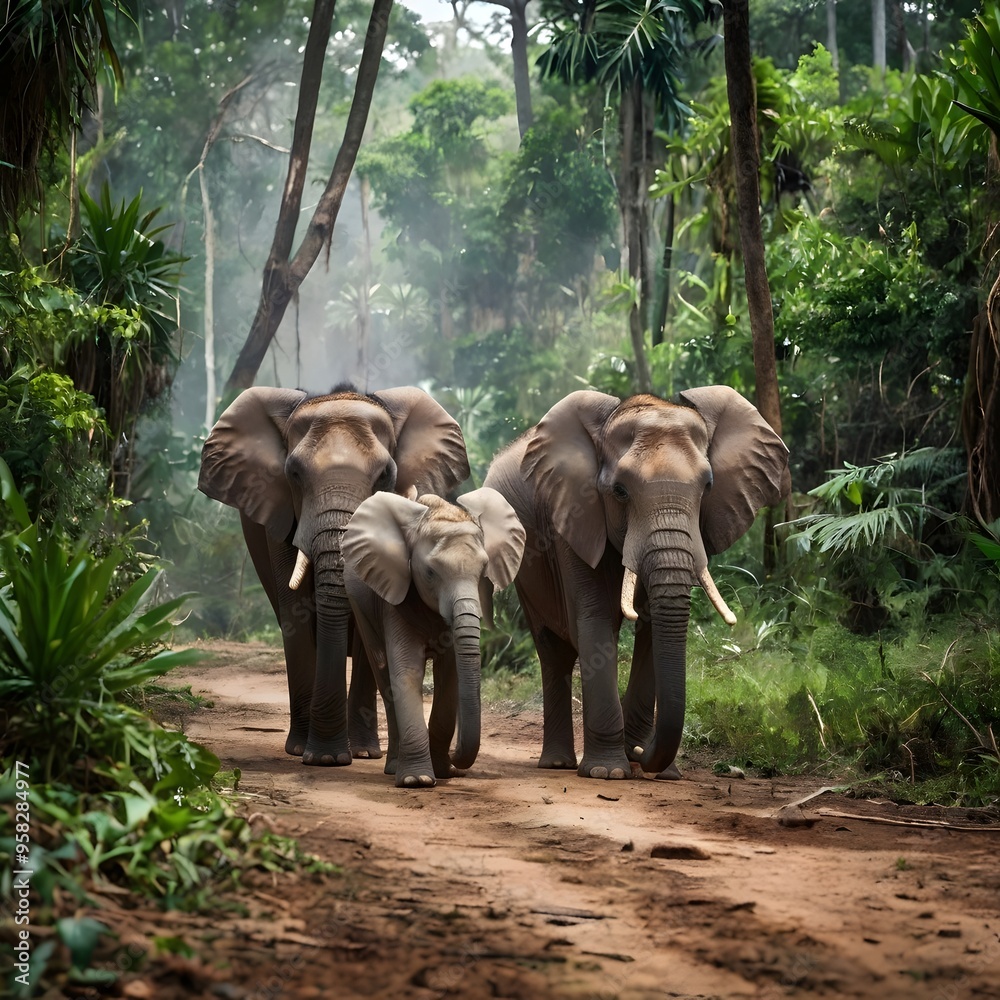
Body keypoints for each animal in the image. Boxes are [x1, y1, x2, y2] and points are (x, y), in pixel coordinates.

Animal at [198, 383, 470, 766]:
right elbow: (295, 610)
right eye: (294, 474)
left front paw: (351, 754)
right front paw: (317, 755)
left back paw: (363, 751)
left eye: (385, 475)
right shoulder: (280, 516)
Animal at [343, 488, 525, 788]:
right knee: (383, 673)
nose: (456, 760)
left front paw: (443, 772)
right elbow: (407, 671)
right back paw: (394, 767)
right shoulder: (395, 598)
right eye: (429, 573)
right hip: (362, 605)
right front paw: (417, 780)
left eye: (484, 569)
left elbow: (450, 674)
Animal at [483, 387, 789, 780]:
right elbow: (595, 619)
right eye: (620, 491)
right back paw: (559, 764)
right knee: (554, 651)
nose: (642, 753)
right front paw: (607, 773)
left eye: (708, 487)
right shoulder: (573, 517)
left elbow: (653, 626)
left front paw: (662, 772)